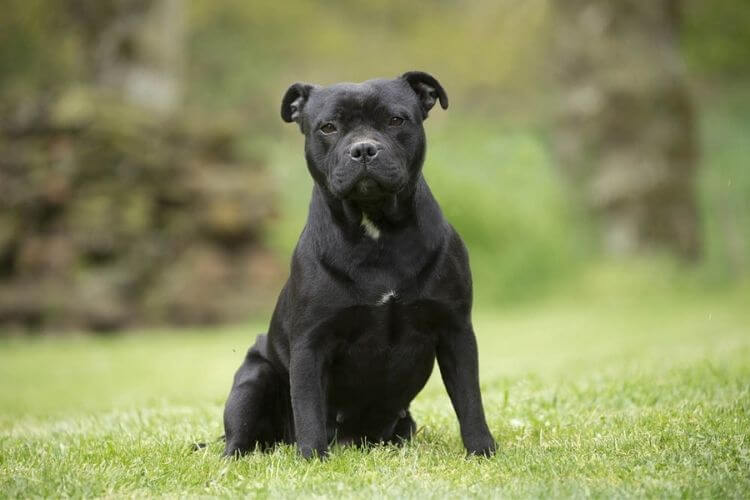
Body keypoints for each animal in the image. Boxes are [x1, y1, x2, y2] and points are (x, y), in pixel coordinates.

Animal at [223, 71, 500, 460]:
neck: (375, 229)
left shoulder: (455, 329)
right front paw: (312, 458)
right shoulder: (311, 343)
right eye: (328, 127)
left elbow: (469, 399)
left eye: (396, 120)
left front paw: (481, 450)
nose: (364, 149)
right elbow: (308, 406)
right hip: (252, 381)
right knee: (237, 438)